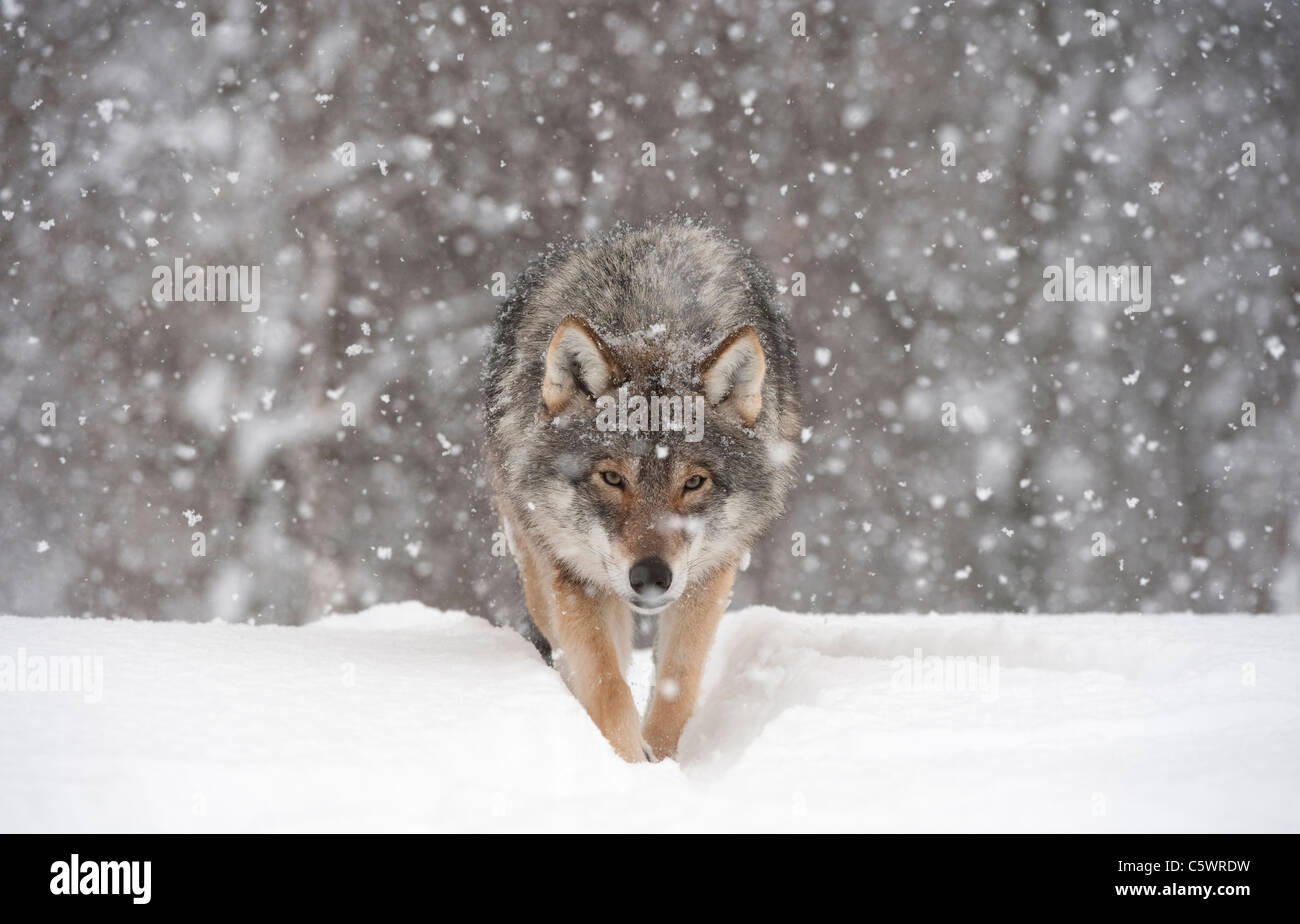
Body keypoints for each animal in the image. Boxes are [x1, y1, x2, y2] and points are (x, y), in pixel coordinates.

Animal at [483, 220, 795, 764]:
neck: (653, 324)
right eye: (612, 478)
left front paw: (662, 762)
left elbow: (678, 682)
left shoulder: (710, 572)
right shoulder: (573, 574)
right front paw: (628, 766)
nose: (651, 576)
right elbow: (607, 686)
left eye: (693, 482)